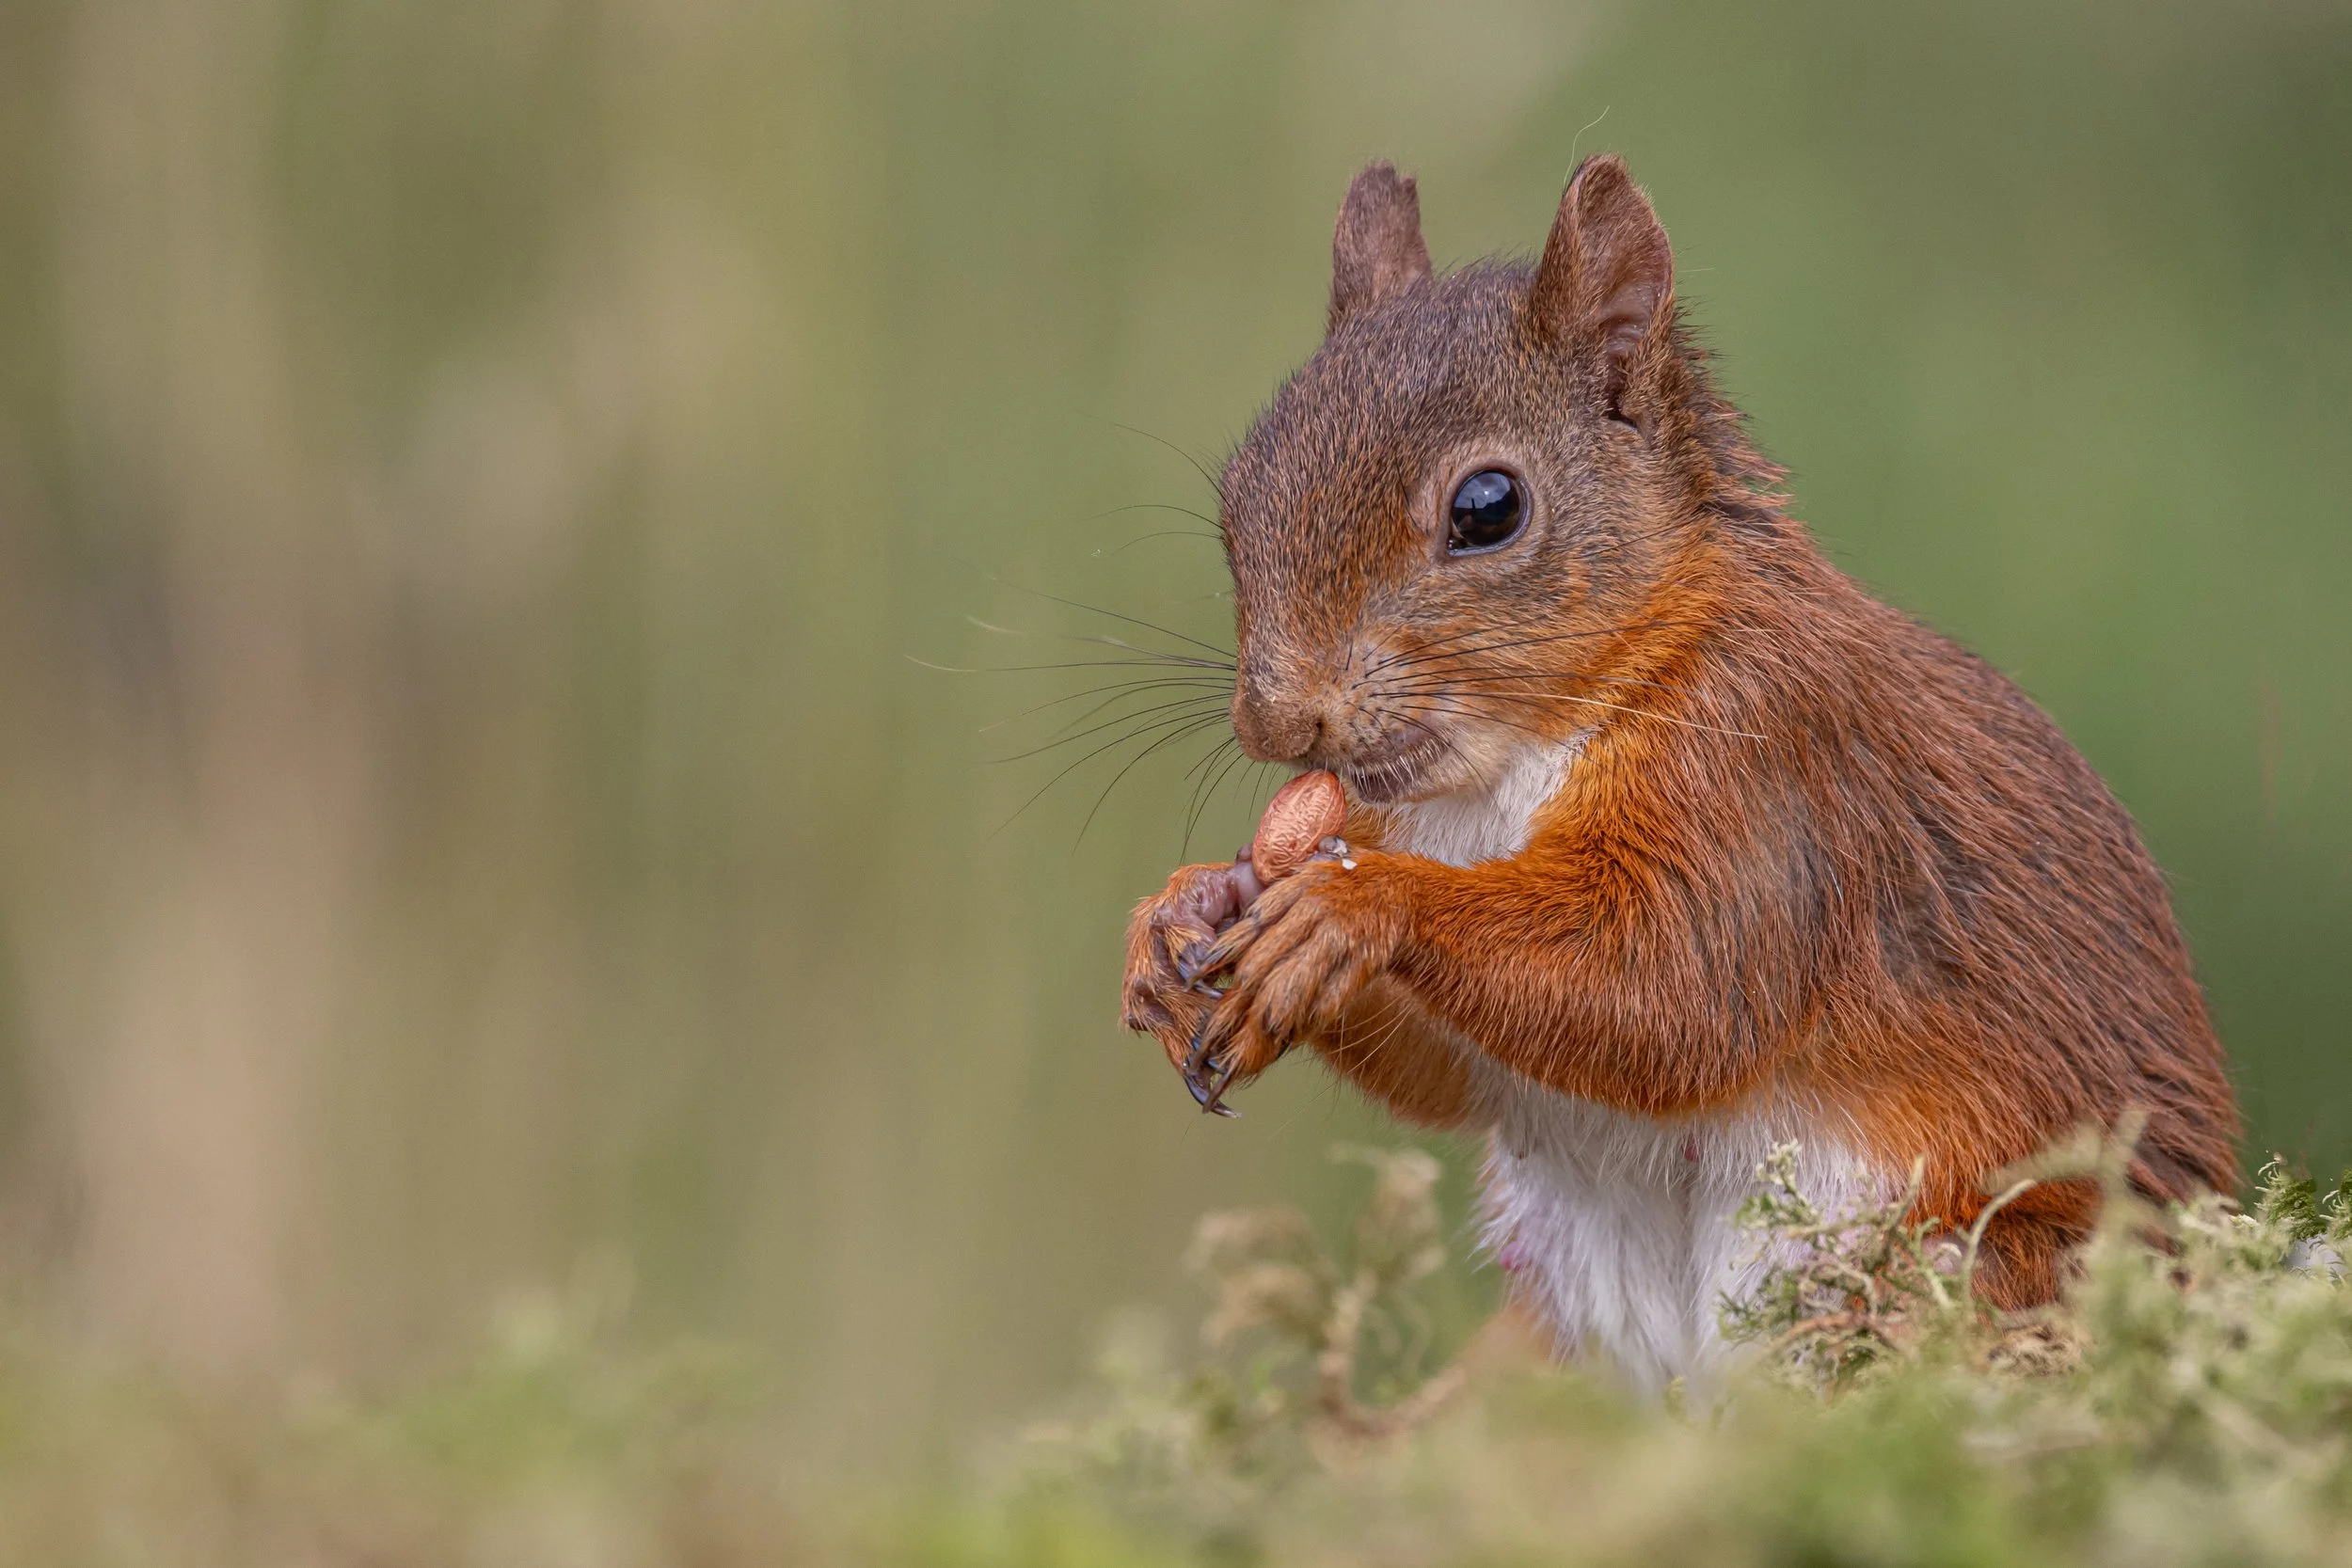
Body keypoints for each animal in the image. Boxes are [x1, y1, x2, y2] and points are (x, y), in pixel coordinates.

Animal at [1119, 154, 2239, 1390]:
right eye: (1236, 498)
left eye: (1486, 508)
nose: (1279, 720)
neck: (1495, 776)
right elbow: (1454, 1073)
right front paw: (1182, 913)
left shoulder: (1776, 775)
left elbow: (1672, 983)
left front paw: (1347, 910)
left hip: (1972, 1265)